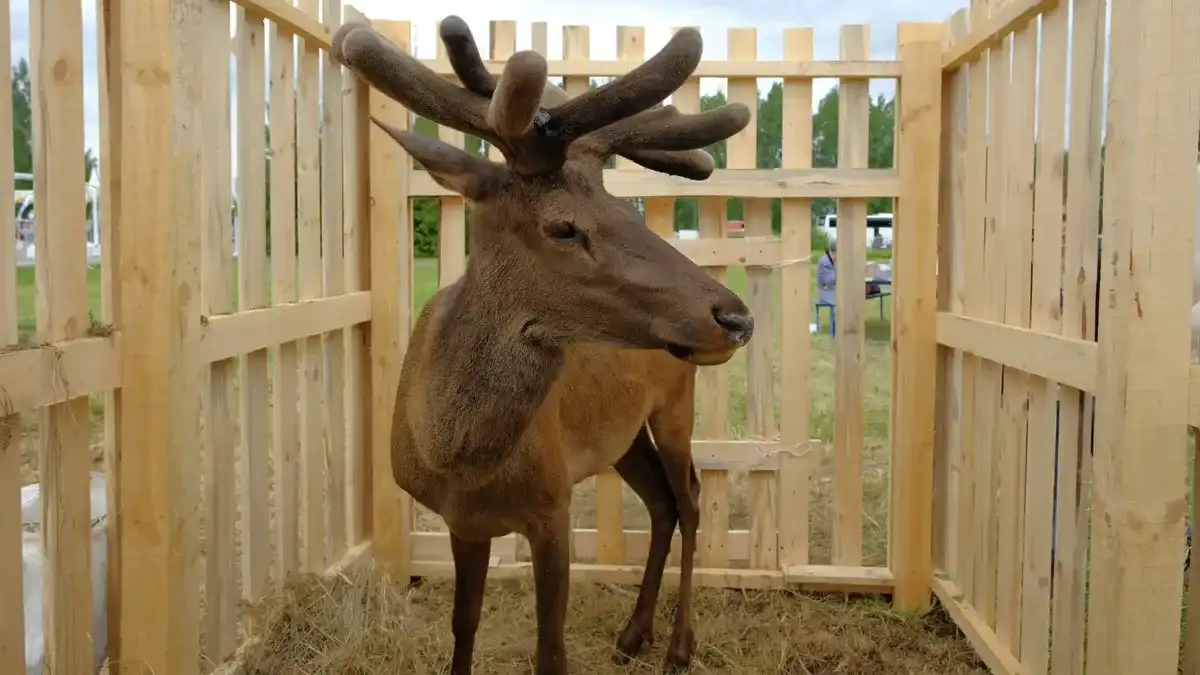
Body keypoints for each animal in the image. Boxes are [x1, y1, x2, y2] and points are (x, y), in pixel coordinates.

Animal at [331, 16, 754, 675]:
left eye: (624, 208)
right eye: (562, 226)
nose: (734, 316)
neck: (458, 458)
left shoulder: (553, 504)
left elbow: (550, 651)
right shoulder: (463, 521)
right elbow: (463, 624)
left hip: (674, 402)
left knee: (689, 498)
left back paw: (679, 645)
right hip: (621, 434)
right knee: (660, 503)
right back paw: (634, 633)